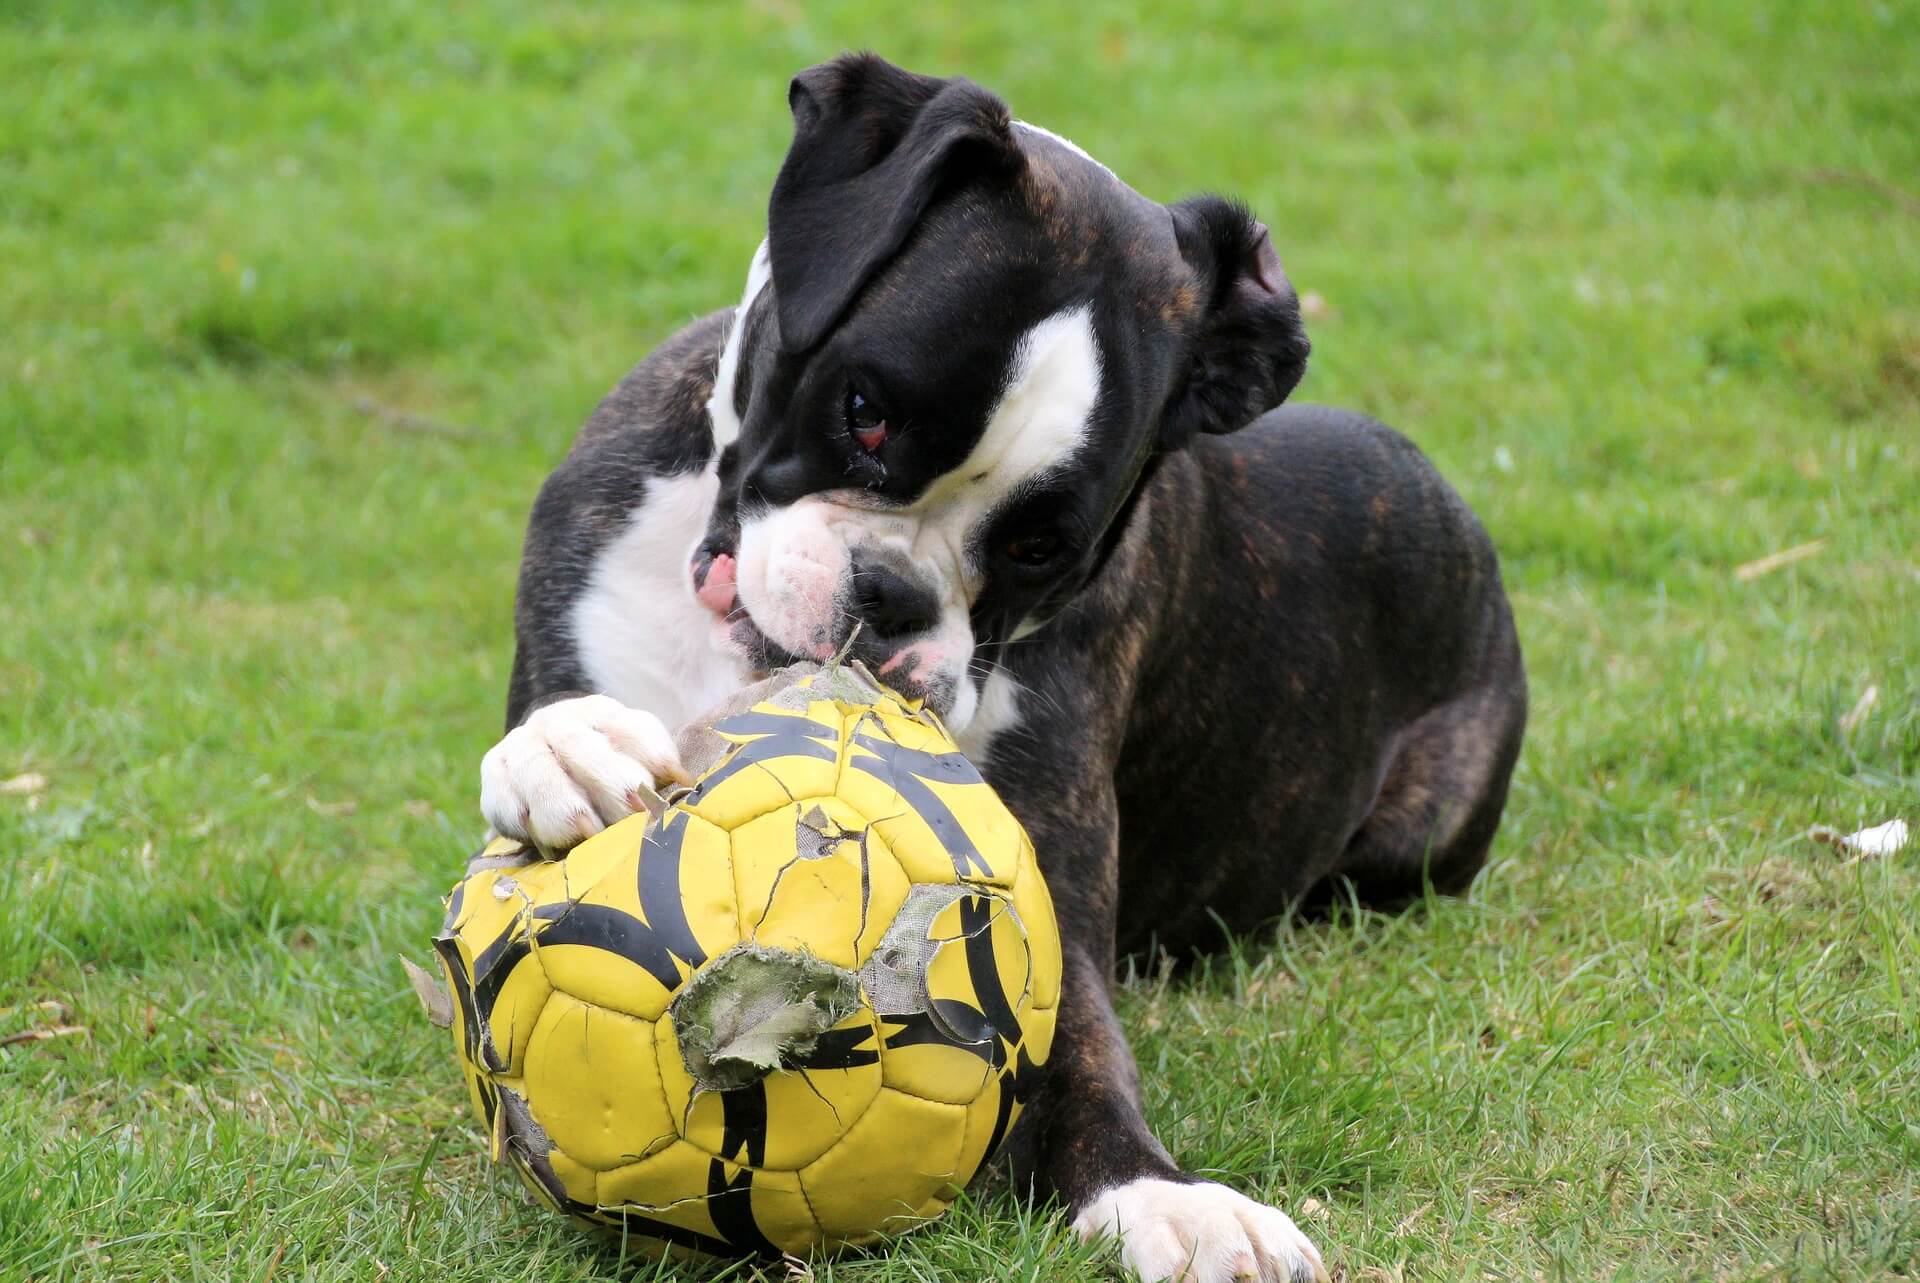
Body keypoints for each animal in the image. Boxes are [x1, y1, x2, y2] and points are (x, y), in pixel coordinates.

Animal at [480, 52, 1528, 1283]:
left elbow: (1083, 1056)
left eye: (1040, 546)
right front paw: (570, 748)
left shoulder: (1045, 897)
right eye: (864, 412)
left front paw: (1167, 1197)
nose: (890, 598)